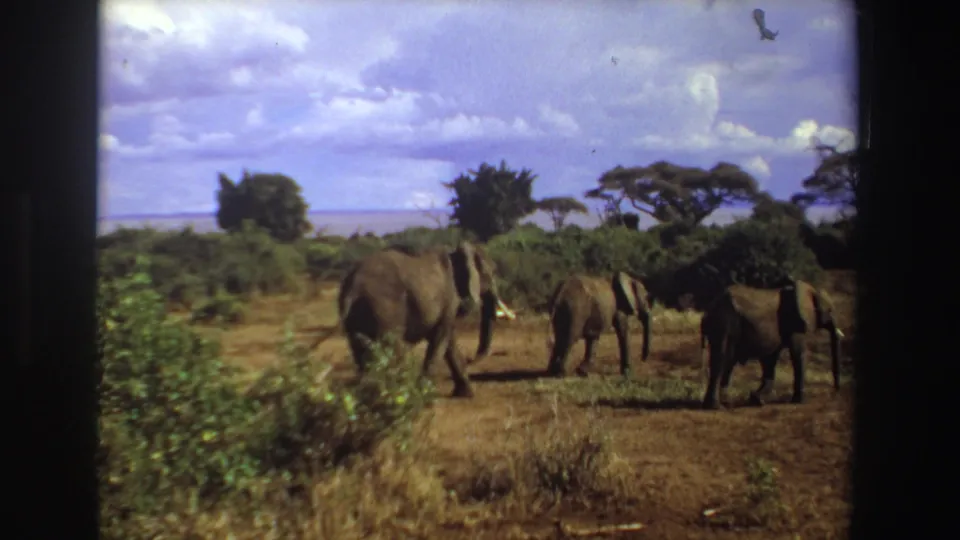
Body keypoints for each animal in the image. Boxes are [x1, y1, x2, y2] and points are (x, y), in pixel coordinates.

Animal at [337, 241, 515, 398]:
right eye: (492, 273)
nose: (471, 359)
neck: (456, 253)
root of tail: (352, 287)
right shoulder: (449, 296)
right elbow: (441, 339)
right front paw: (423, 395)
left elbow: (449, 342)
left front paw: (466, 394)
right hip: (384, 308)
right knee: (391, 349)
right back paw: (399, 396)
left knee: (361, 352)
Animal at [699, 279, 844, 410]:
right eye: (830, 310)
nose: (835, 391)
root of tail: (709, 309)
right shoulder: (795, 322)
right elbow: (798, 353)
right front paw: (800, 401)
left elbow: (770, 360)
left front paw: (757, 400)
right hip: (725, 323)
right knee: (722, 359)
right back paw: (716, 407)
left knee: (727, 362)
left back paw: (724, 404)